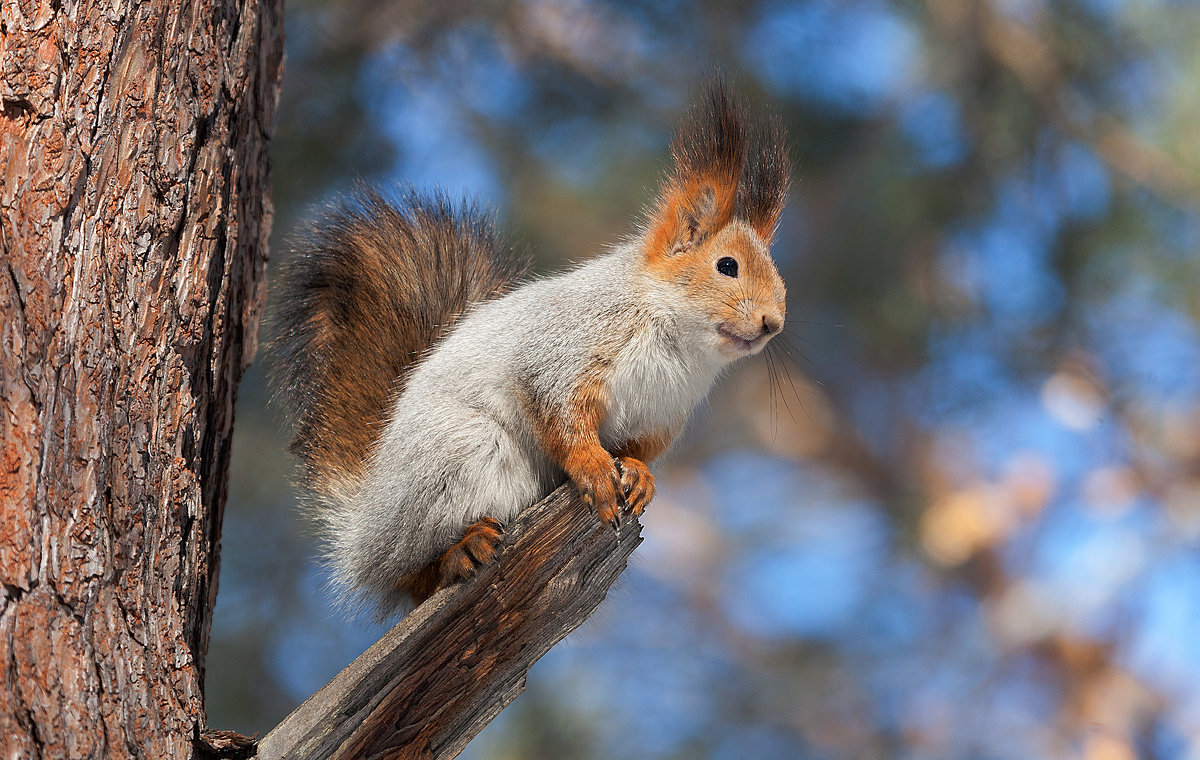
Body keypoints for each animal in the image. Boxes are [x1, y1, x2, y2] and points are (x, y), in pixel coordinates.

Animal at [273, 78, 796, 609]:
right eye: (727, 266)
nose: (773, 323)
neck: (680, 346)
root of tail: (367, 524)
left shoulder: (661, 415)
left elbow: (640, 449)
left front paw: (639, 475)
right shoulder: (563, 352)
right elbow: (560, 417)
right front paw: (594, 470)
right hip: (457, 454)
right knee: (410, 574)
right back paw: (460, 551)